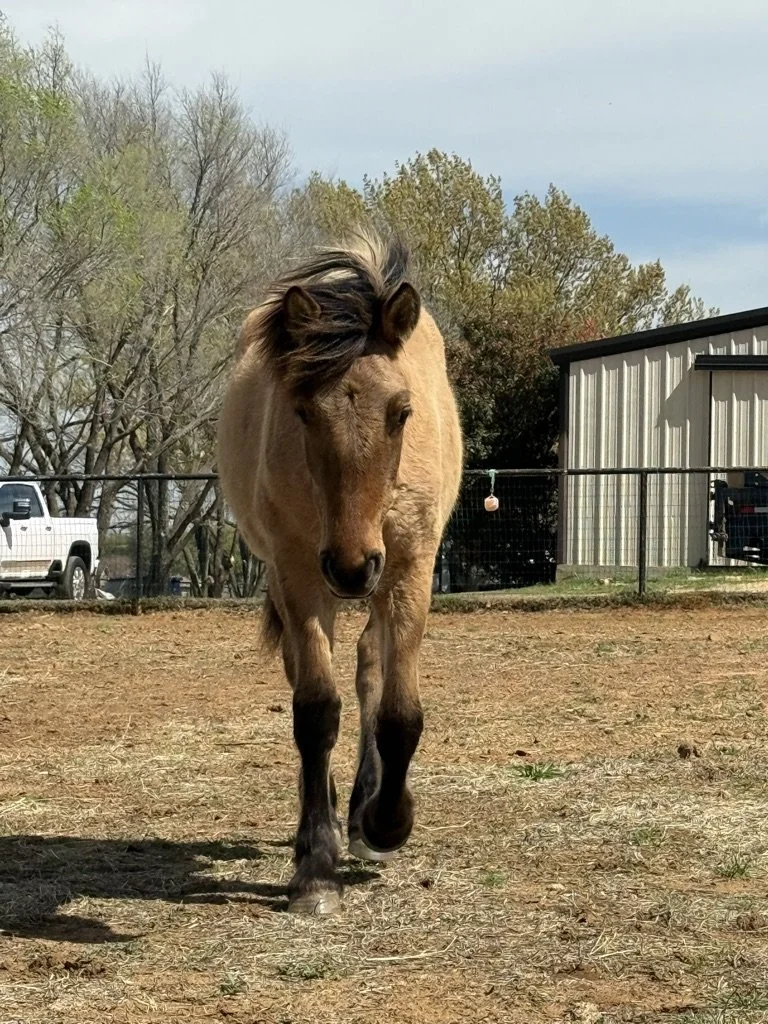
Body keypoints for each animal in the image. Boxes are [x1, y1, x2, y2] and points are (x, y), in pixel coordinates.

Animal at [216, 231, 463, 915]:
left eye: (402, 411)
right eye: (302, 412)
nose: (352, 567)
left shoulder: (409, 568)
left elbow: (400, 713)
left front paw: (384, 823)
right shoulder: (300, 570)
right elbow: (315, 712)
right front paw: (316, 869)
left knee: (370, 666)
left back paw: (358, 812)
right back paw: (321, 821)